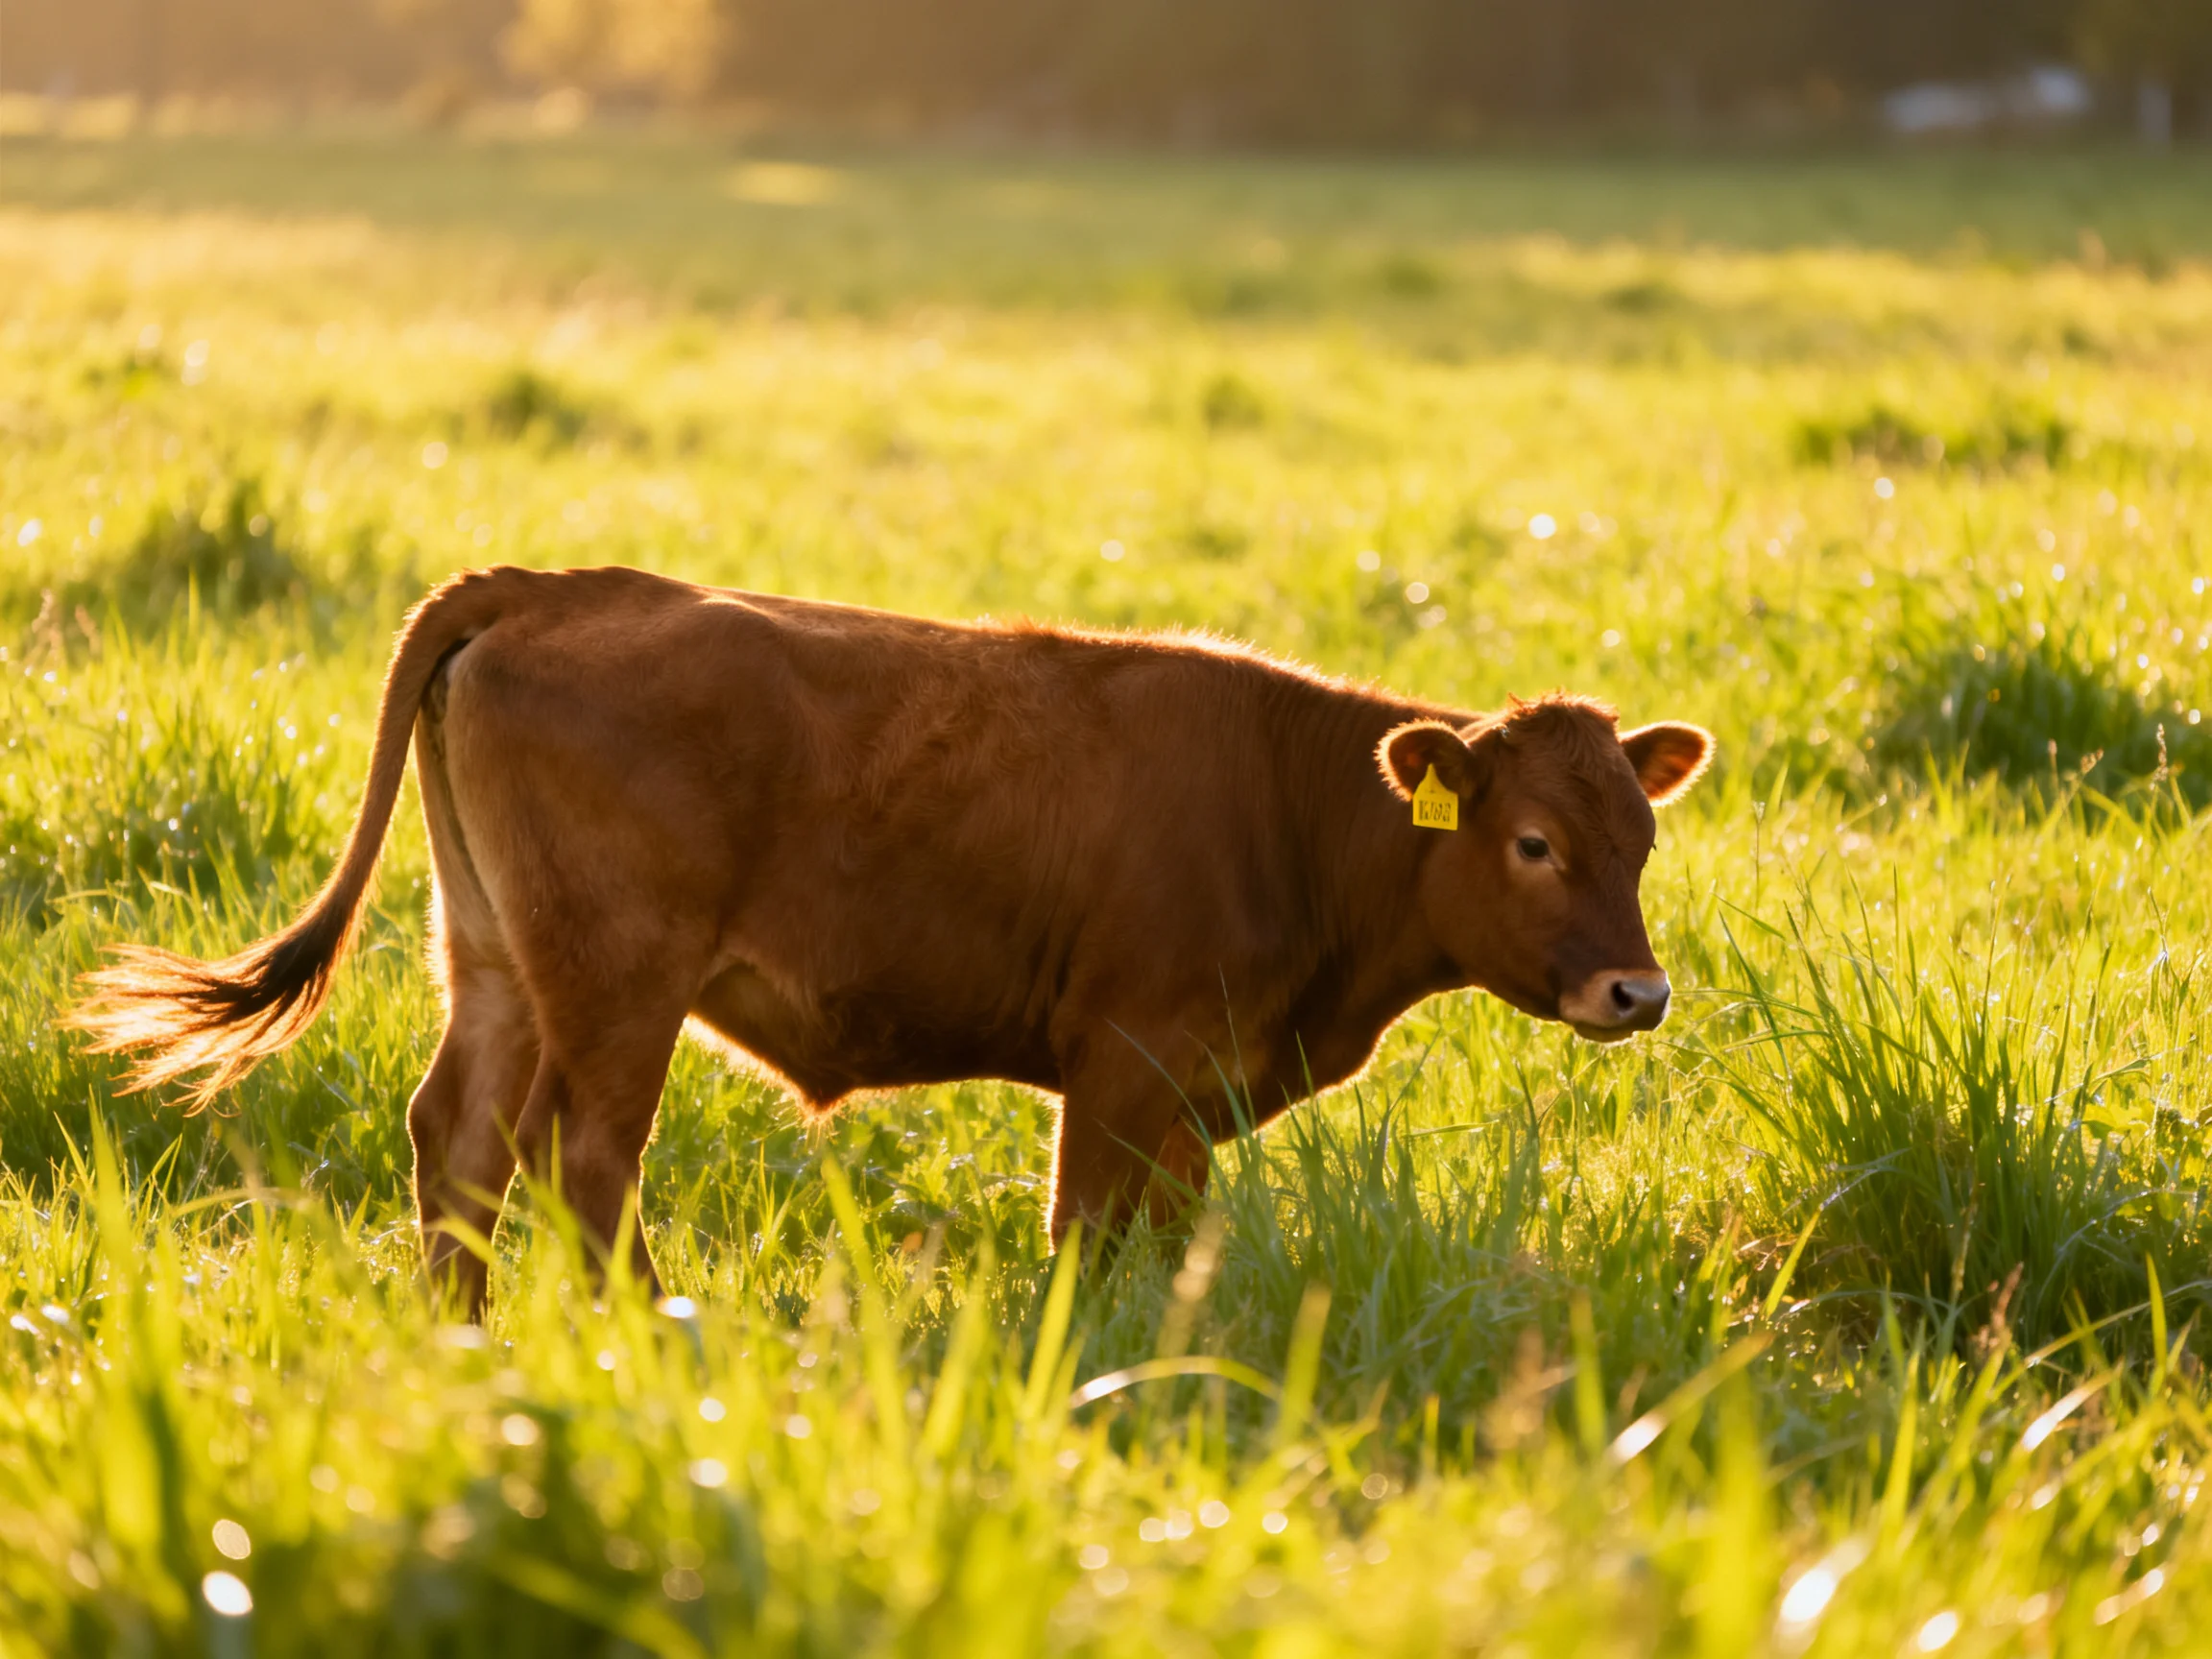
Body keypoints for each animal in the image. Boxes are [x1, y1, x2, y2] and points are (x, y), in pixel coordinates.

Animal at [67, 564, 1711, 1314]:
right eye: (1533, 842)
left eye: (1641, 835)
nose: (1637, 990)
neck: (1296, 812)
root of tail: (558, 586)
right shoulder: (1131, 1062)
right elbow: (1090, 1230)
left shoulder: (1182, 1095)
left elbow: (1158, 1236)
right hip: (618, 979)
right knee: (584, 1155)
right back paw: (649, 1332)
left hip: (492, 962)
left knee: (460, 1137)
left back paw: (458, 1336)